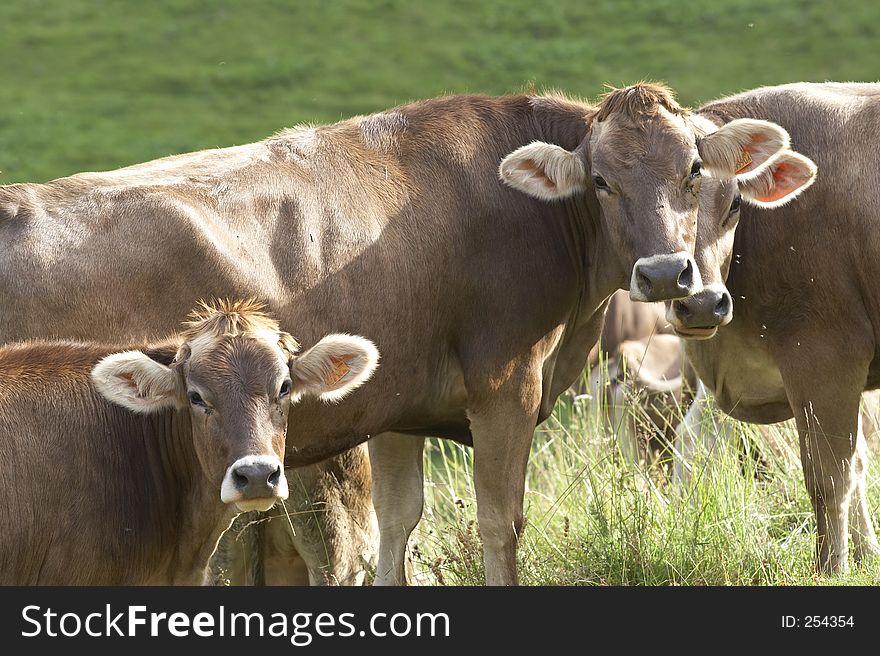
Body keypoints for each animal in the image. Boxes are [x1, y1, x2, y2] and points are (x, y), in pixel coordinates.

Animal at [668, 83, 880, 576]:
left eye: (734, 204)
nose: (701, 303)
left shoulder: (825, 359)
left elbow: (830, 475)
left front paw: (831, 568)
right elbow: (859, 465)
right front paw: (866, 556)